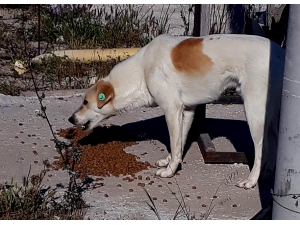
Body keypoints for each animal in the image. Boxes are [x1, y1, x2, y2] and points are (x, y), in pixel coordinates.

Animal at [68, 33, 286, 188]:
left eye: (85, 102)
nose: (70, 119)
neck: (141, 71)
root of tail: (280, 53)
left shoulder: (172, 110)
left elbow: (174, 143)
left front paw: (170, 171)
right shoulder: (187, 110)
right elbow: (179, 144)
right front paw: (170, 162)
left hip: (254, 112)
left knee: (261, 149)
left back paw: (252, 180)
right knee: (274, 143)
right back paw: (268, 173)